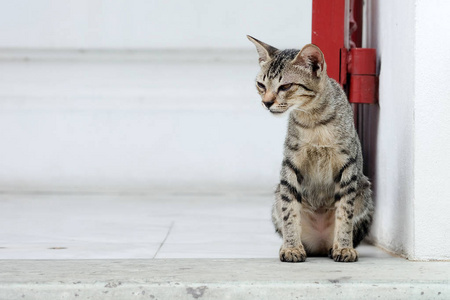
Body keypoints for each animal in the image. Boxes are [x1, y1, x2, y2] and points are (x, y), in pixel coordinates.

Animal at [248, 36, 374, 264]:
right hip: (277, 196)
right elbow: (289, 210)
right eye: (261, 85)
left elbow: (345, 211)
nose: (266, 102)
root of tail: (320, 244)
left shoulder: (347, 165)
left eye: (286, 86)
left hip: (365, 193)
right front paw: (291, 247)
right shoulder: (290, 165)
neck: (314, 121)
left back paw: (335, 247)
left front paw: (344, 247)